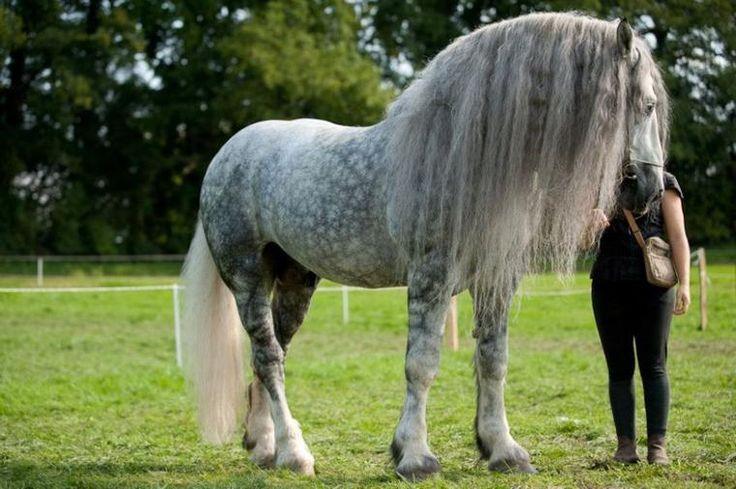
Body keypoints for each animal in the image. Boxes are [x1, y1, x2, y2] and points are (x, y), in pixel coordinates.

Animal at [181, 12, 669, 481]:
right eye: (646, 104)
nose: (651, 189)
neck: (459, 158)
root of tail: (229, 152)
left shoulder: (496, 282)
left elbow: (493, 361)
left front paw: (503, 450)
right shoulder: (430, 280)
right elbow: (422, 364)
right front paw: (415, 456)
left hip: (296, 280)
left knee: (270, 357)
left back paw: (265, 447)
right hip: (247, 278)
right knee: (269, 359)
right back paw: (295, 455)